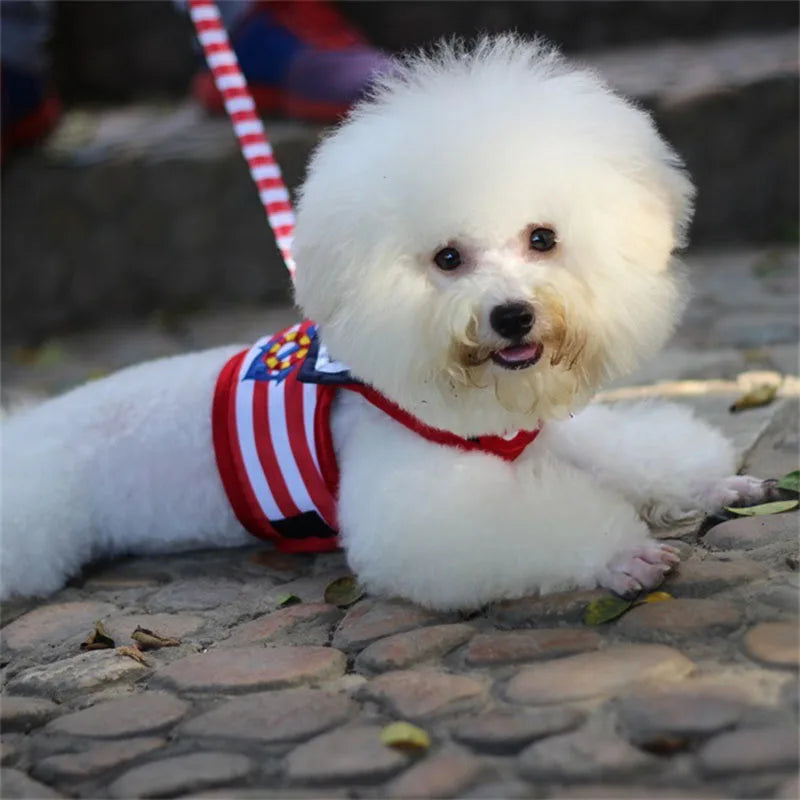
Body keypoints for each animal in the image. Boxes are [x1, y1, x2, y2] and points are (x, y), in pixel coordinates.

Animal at [0, 37, 764, 608]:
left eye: (542, 239)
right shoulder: (416, 504)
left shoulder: (539, 437)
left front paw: (711, 486)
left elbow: (629, 453)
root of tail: (25, 427)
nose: (512, 316)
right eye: (447, 258)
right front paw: (621, 554)